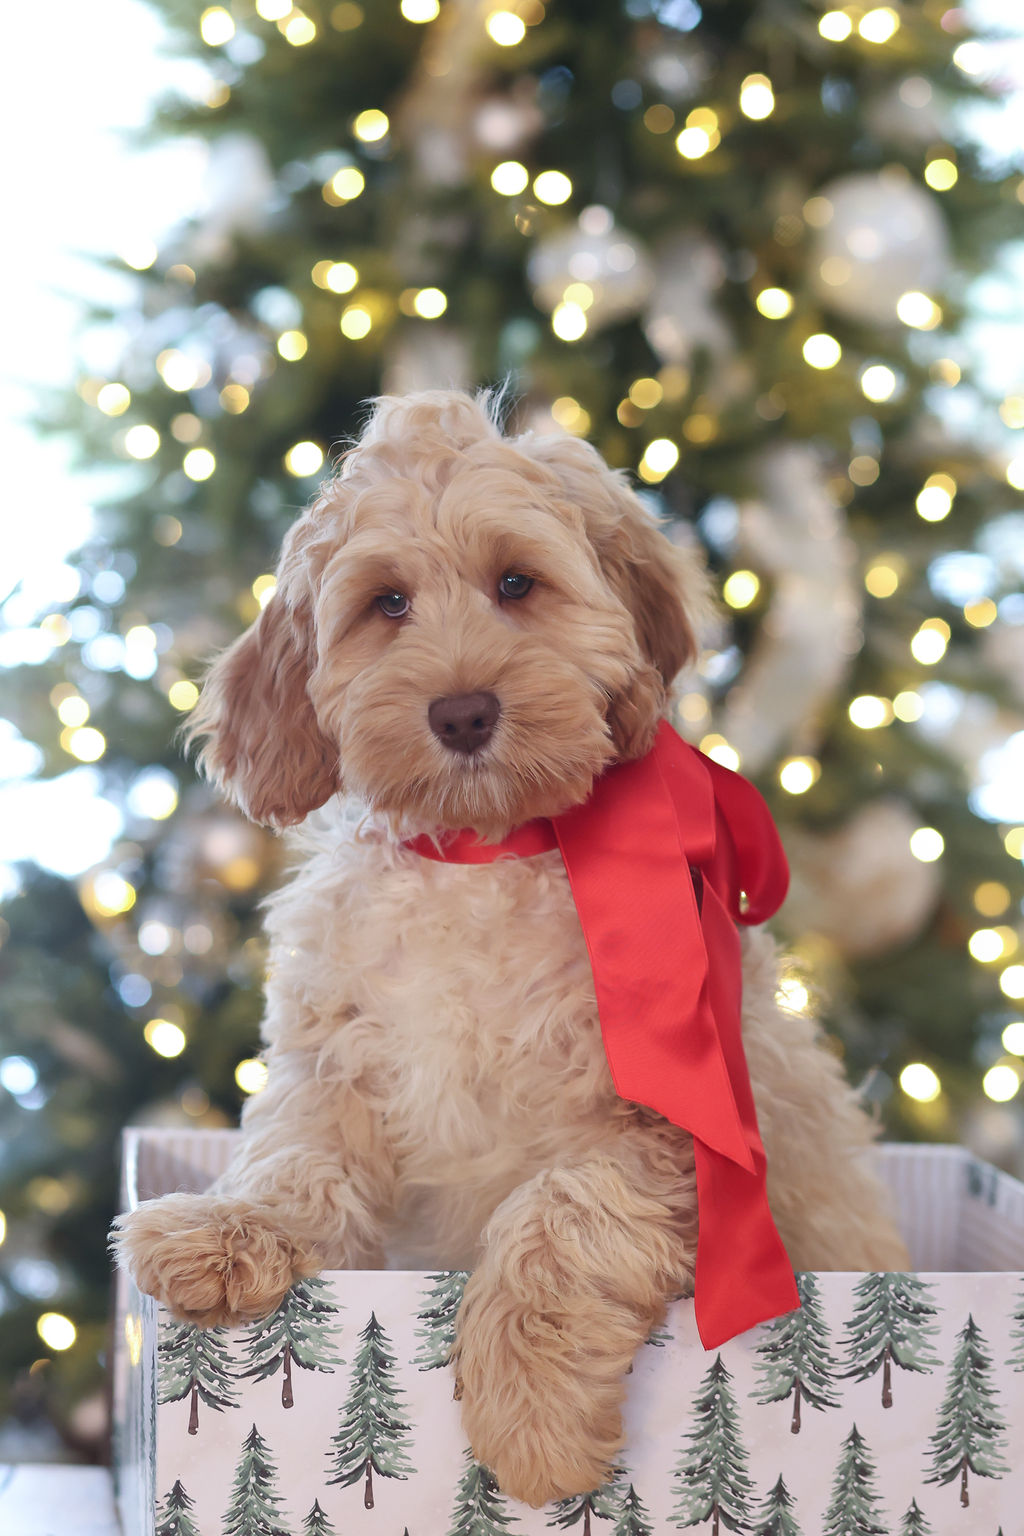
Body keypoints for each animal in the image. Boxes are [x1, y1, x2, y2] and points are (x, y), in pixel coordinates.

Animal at [115, 390, 908, 1505]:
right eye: (387, 603)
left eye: (517, 584)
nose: (461, 712)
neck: (481, 854)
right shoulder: (336, 1068)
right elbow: (295, 1159)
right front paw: (225, 1231)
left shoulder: (646, 1125)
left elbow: (558, 1218)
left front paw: (529, 1414)